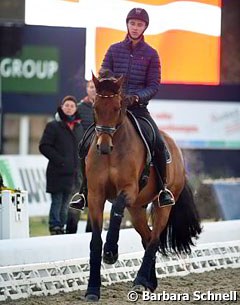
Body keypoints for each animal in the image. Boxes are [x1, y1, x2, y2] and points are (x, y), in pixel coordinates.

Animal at [83, 72, 202, 300]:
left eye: (117, 108)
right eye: (94, 107)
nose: (103, 147)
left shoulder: (128, 190)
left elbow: (116, 208)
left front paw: (111, 252)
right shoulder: (95, 196)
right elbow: (94, 241)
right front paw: (92, 289)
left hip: (162, 205)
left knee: (154, 240)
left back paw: (140, 282)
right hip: (137, 209)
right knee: (147, 239)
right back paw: (148, 282)